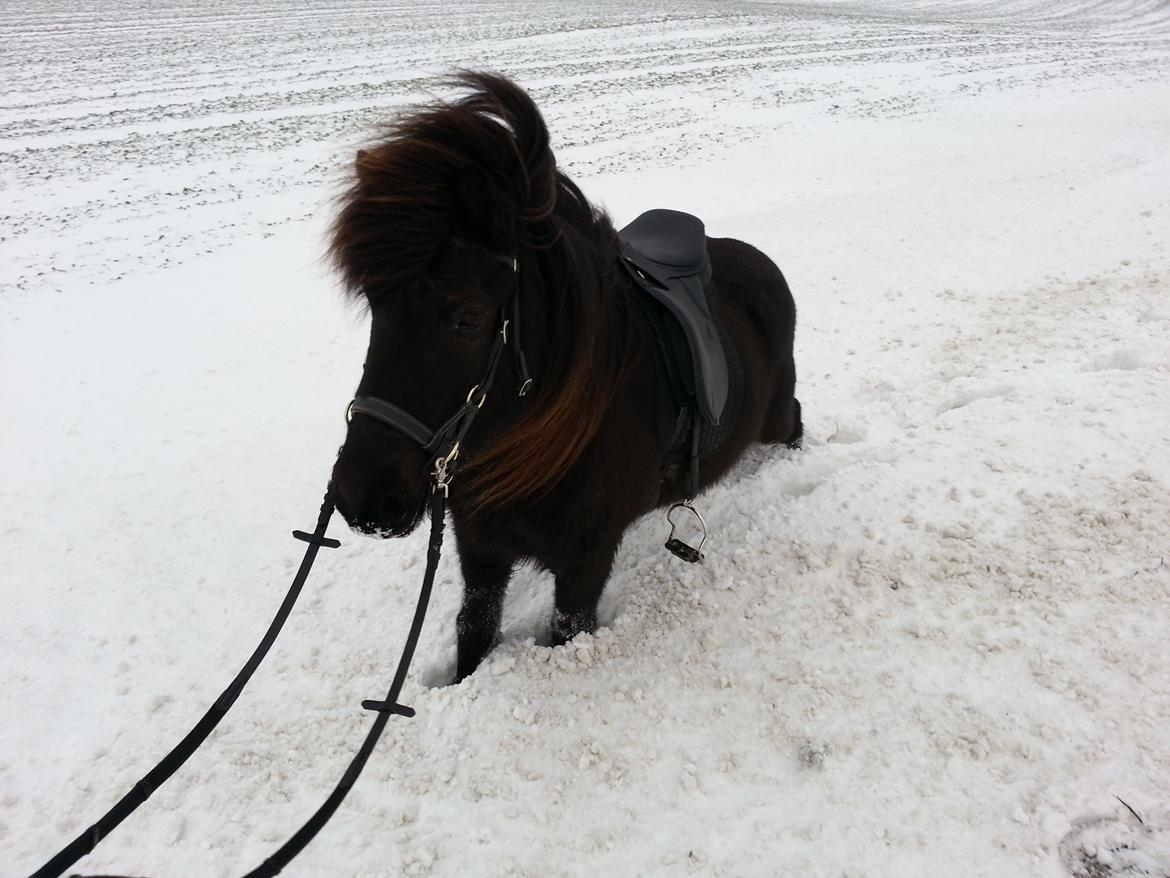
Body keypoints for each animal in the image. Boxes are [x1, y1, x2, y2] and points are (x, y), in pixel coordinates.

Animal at [334, 72, 800, 683]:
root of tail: (762, 262)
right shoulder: (479, 547)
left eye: (469, 318)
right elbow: (473, 631)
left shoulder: (586, 560)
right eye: (375, 305)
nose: (360, 496)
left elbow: (567, 631)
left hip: (776, 415)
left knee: (794, 423)